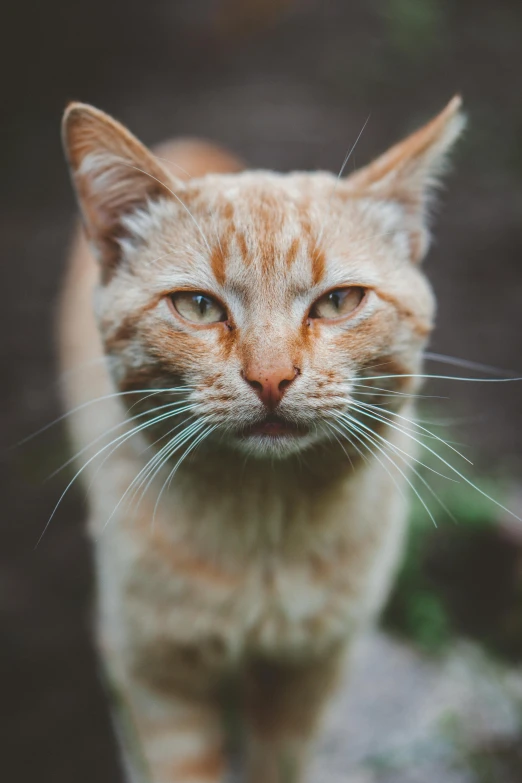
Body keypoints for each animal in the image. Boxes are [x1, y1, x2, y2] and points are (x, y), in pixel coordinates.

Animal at [60, 99, 464, 783]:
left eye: (339, 301)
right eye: (198, 307)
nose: (271, 377)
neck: (265, 526)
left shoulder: (311, 669)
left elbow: (278, 761)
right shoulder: (155, 674)